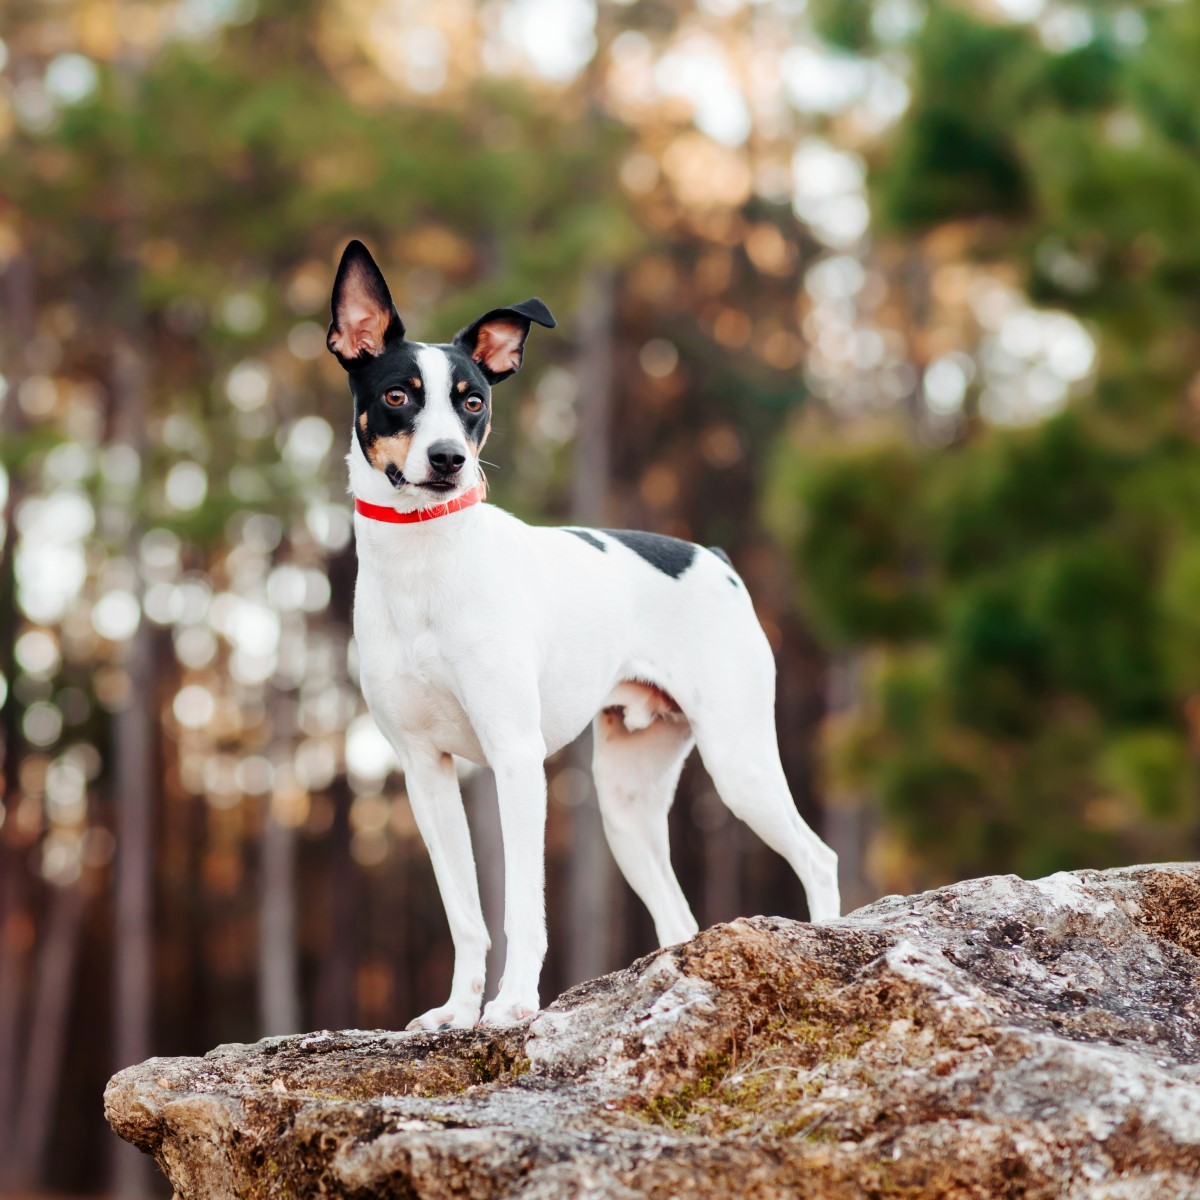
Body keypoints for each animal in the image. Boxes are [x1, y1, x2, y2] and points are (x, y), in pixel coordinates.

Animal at [324, 238, 840, 1027]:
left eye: (473, 401)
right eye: (397, 396)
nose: (449, 460)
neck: (425, 565)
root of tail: (716, 560)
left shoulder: (514, 757)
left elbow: (521, 909)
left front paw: (512, 1004)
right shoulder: (424, 771)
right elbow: (466, 913)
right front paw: (457, 1012)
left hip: (739, 760)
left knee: (818, 857)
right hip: (626, 806)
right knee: (678, 916)